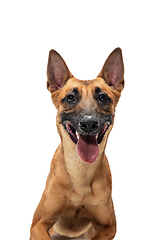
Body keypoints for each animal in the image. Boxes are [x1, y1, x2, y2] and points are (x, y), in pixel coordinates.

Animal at [30, 47, 125, 240]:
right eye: (70, 97)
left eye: (103, 97)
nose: (89, 124)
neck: (81, 171)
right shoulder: (38, 225)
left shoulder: (109, 227)